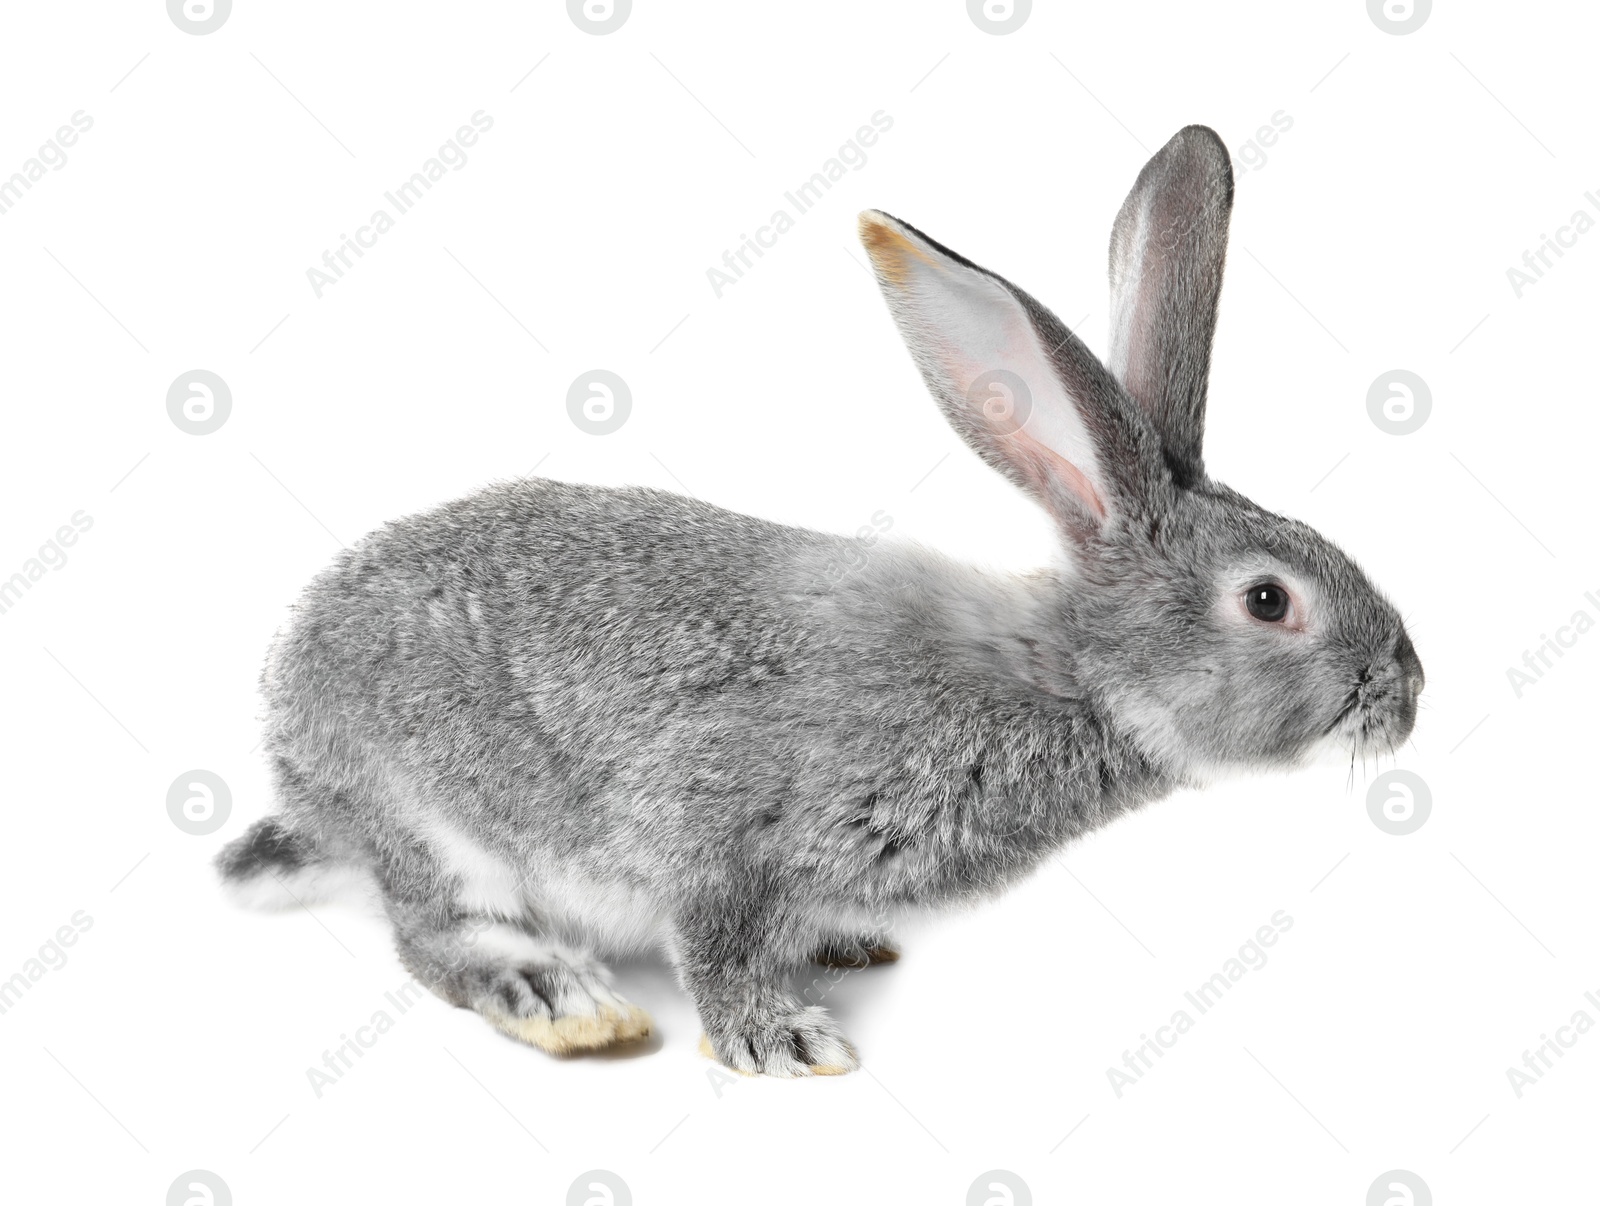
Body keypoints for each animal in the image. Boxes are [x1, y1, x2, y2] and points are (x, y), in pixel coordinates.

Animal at [216, 127, 1427, 1074]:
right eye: (1268, 601)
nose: (1407, 696)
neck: (1067, 678)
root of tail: (302, 772)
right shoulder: (720, 832)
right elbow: (713, 937)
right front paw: (779, 1041)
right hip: (433, 819)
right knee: (436, 936)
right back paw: (560, 998)